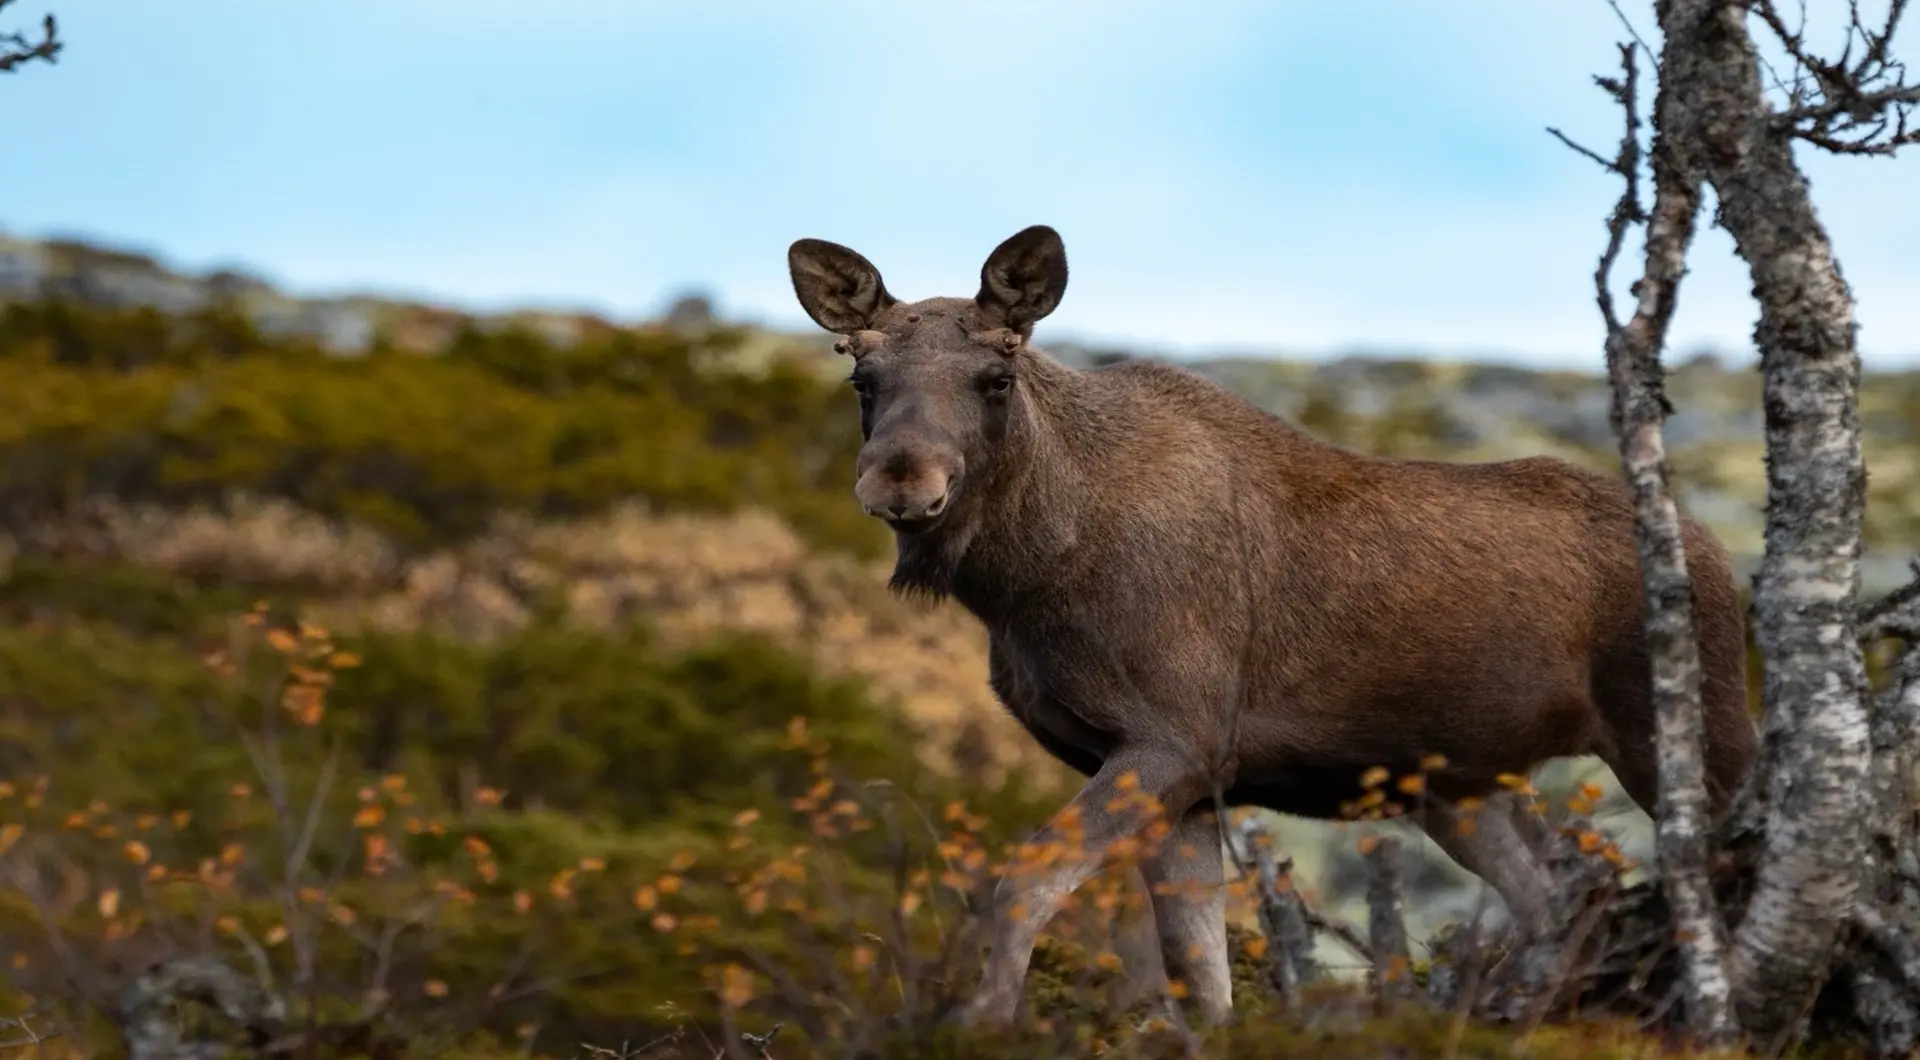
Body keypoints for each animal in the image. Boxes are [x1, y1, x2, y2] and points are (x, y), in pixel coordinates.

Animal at [784, 224, 1759, 1029]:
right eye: (863, 378)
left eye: (996, 377)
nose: (900, 482)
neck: (1025, 578)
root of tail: (1713, 549)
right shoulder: (1179, 777)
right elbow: (1197, 971)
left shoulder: (1174, 741)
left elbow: (1024, 879)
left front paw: (982, 1023)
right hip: (1467, 788)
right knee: (1558, 899)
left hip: (1684, 723)